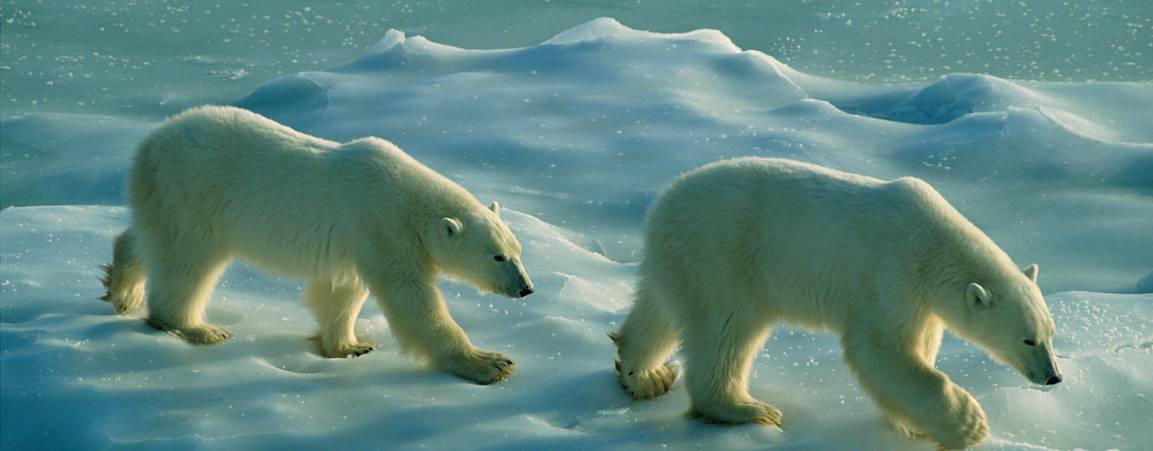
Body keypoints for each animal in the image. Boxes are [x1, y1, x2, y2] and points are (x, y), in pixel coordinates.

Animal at [101, 105, 534, 385]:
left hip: (164, 195)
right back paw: (196, 328)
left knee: (150, 238)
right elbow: (412, 300)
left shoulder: (358, 239)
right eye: (497, 256)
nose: (527, 288)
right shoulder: (382, 227)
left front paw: (350, 346)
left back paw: (121, 289)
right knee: (186, 261)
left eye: (518, 252)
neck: (409, 200)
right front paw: (491, 363)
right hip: (194, 194)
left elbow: (341, 291)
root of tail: (150, 144)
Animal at [611, 157, 1062, 449]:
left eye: (1051, 333)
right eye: (1027, 339)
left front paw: (914, 423)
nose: (1054, 377)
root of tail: (663, 203)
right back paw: (747, 408)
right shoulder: (892, 273)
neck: (931, 241)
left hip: (680, 260)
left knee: (658, 312)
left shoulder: (922, 300)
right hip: (723, 256)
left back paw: (645, 375)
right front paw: (967, 424)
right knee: (724, 330)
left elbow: (918, 348)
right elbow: (881, 349)